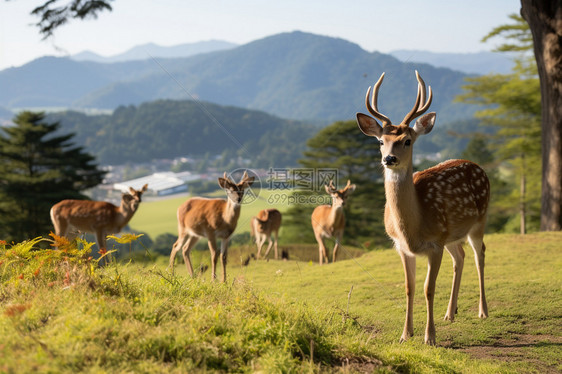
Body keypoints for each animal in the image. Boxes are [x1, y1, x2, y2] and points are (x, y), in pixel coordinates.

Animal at [356, 71, 488, 346]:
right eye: (381, 141)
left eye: (407, 141)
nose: (389, 159)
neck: (413, 228)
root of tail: (478, 166)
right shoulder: (401, 246)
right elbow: (410, 287)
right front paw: (406, 334)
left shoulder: (434, 244)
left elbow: (429, 288)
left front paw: (430, 337)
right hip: (452, 235)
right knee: (460, 256)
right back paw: (450, 313)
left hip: (479, 220)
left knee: (479, 254)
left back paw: (483, 311)